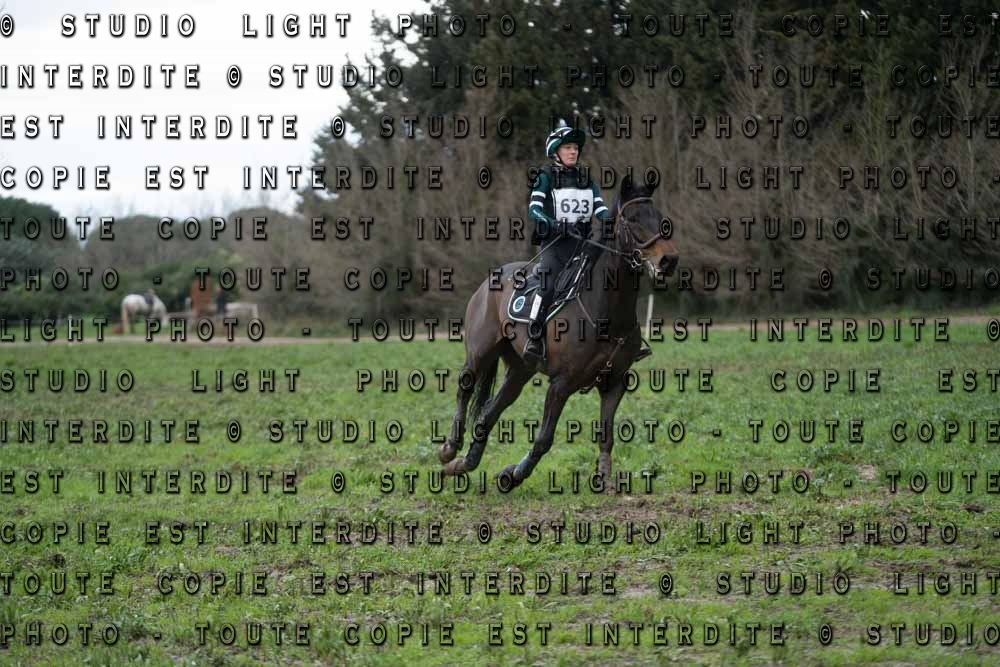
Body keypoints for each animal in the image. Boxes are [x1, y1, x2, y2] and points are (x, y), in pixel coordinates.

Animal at [439, 175, 679, 491]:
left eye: (661, 218)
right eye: (633, 218)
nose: (669, 260)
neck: (607, 310)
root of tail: (492, 277)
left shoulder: (614, 383)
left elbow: (606, 436)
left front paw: (605, 480)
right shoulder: (561, 384)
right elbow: (544, 439)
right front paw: (513, 475)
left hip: (520, 370)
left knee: (491, 409)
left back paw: (464, 463)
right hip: (480, 352)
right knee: (465, 388)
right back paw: (449, 449)